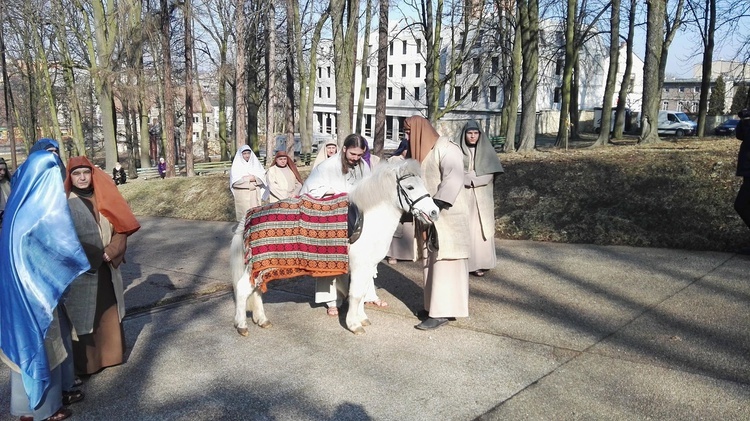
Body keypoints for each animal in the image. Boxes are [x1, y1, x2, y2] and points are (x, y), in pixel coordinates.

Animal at [231, 158, 440, 334]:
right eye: (410, 186)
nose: (434, 212)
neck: (368, 220)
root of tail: (249, 217)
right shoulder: (360, 267)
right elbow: (355, 294)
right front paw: (354, 324)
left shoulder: (368, 266)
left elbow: (362, 292)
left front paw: (362, 318)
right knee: (243, 289)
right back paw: (242, 325)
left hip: (261, 268)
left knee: (256, 289)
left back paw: (261, 320)